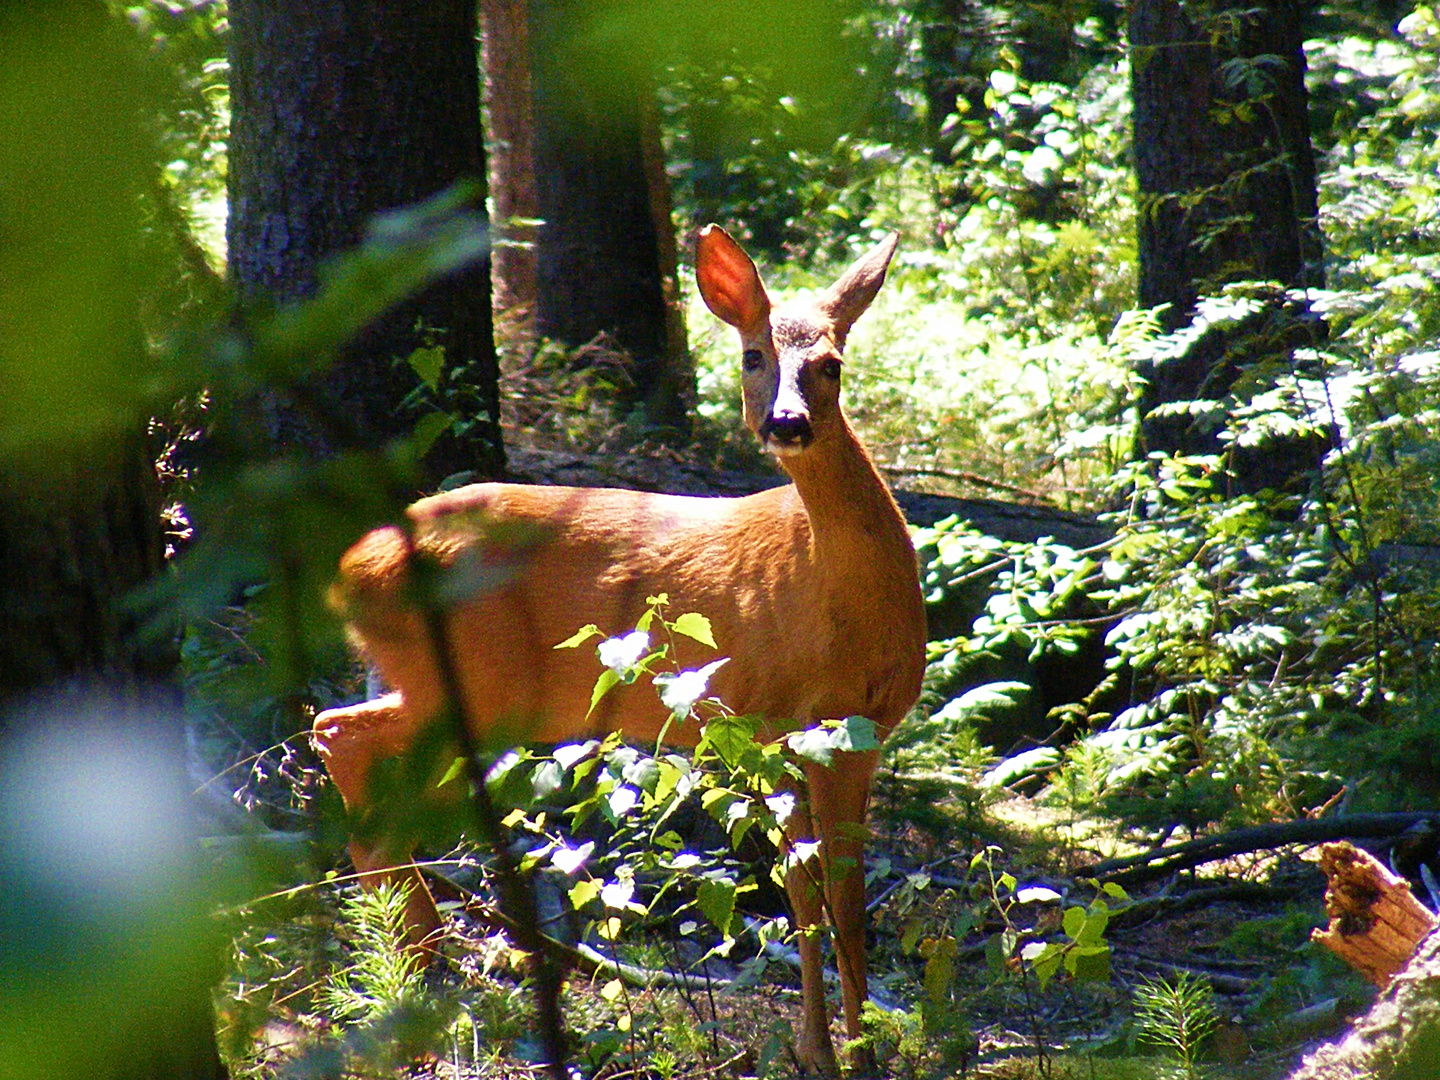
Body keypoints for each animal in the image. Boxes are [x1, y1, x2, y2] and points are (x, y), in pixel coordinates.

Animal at [309, 226, 927, 1077]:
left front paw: (855, 1047)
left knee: (357, 753)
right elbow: (805, 887)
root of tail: (348, 570)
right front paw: (828, 1054)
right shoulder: (770, 718)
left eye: (830, 363)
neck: (846, 604)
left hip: (452, 684)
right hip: (480, 683)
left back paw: (417, 956)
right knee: (338, 734)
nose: (788, 423)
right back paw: (420, 958)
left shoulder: (860, 733)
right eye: (753, 355)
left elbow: (848, 894)